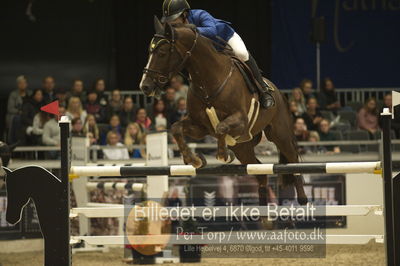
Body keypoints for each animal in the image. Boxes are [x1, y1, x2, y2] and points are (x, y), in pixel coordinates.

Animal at [139, 18, 308, 206]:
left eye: (162, 53)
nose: (145, 86)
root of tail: (279, 93)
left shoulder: (240, 121)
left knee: (293, 161)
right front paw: (194, 159)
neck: (207, 81)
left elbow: (221, 127)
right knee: (260, 173)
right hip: (243, 147)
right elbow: (176, 128)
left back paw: (303, 200)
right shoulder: (200, 127)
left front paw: (223, 156)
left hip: (280, 134)